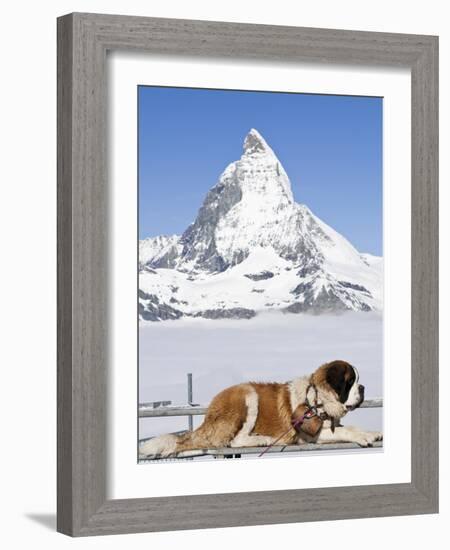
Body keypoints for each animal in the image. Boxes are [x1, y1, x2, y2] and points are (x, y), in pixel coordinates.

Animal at [140, 360, 380, 460]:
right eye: (351, 381)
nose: (363, 387)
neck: (318, 398)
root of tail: (209, 413)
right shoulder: (311, 434)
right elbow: (349, 429)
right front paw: (365, 436)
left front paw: (374, 432)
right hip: (247, 395)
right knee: (234, 441)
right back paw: (262, 439)